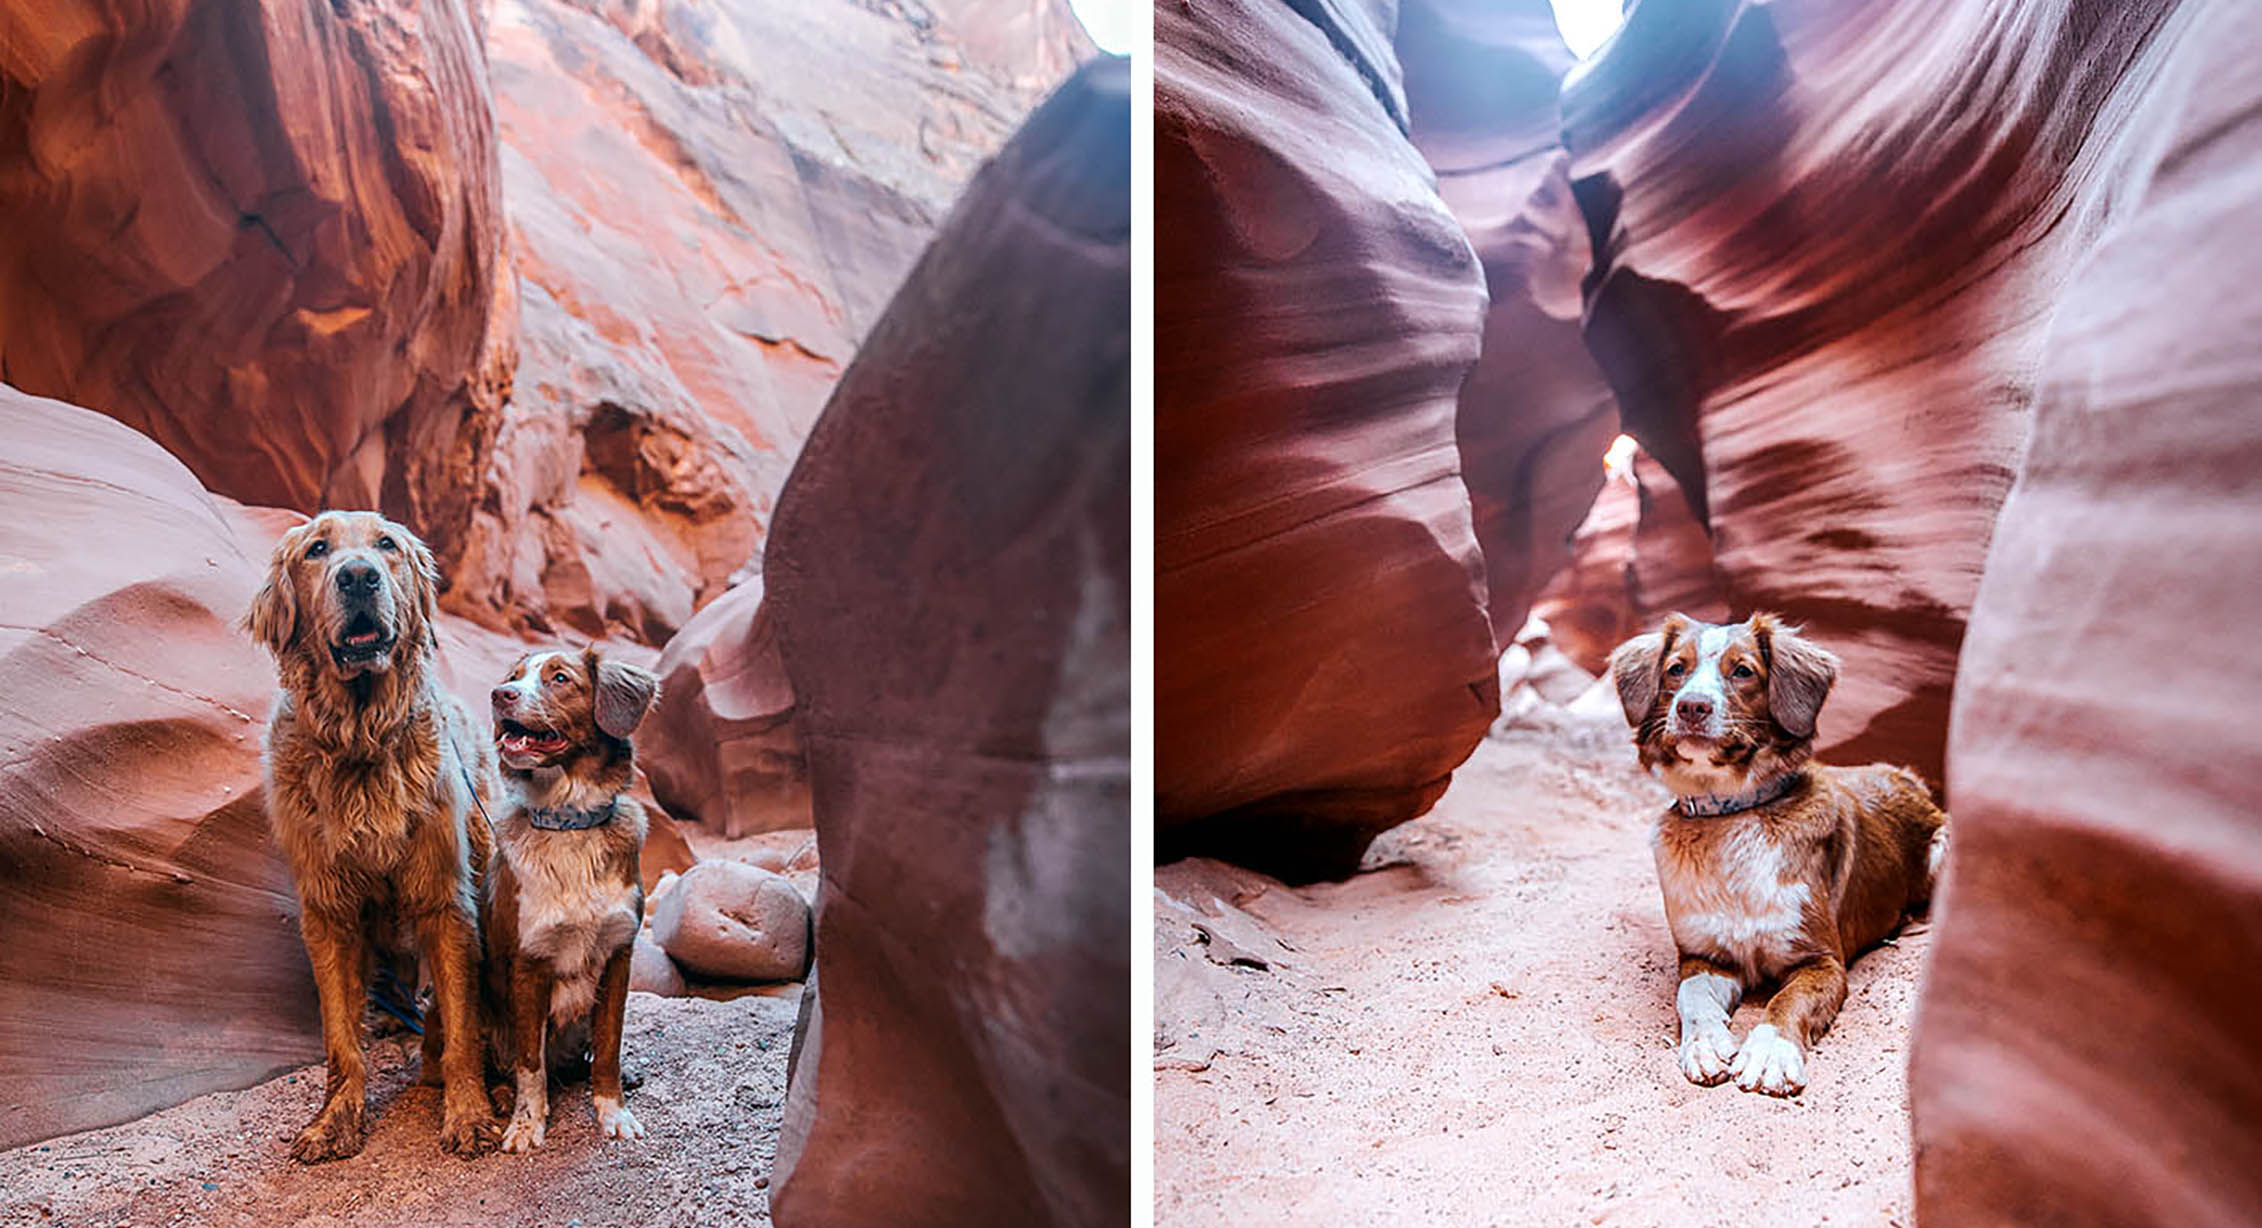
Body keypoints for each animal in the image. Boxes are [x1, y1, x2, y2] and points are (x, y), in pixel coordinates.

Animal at [246, 511, 504, 1166]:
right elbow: (340, 1038)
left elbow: (459, 1023)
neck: (360, 742)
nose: (359, 576)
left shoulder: (445, 899)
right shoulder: (328, 910)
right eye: (317, 550)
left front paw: (468, 1112)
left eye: (386, 545)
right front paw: (335, 1119)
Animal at [486, 646, 660, 1148]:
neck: (570, 824)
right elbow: (529, 1064)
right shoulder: (529, 961)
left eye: (560, 678)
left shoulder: (619, 955)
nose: (499, 694)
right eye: (513, 677)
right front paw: (527, 1123)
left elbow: (609, 1048)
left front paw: (612, 1111)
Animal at [1610, 610, 1945, 1099]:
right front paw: (1705, 1043)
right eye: (1675, 669)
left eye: (1743, 671)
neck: (1730, 815)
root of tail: (1905, 775)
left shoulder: (1821, 960)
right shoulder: (1704, 957)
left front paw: (1769, 1052)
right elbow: (1690, 995)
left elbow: (1787, 999)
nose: (1692, 706)